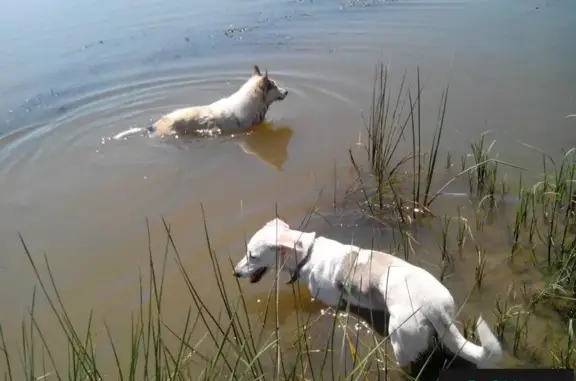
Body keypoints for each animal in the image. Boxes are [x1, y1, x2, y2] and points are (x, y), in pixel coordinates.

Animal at [232, 218, 502, 370]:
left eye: (252, 256)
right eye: (246, 252)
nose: (235, 273)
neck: (307, 253)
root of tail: (433, 305)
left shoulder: (328, 301)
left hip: (401, 341)